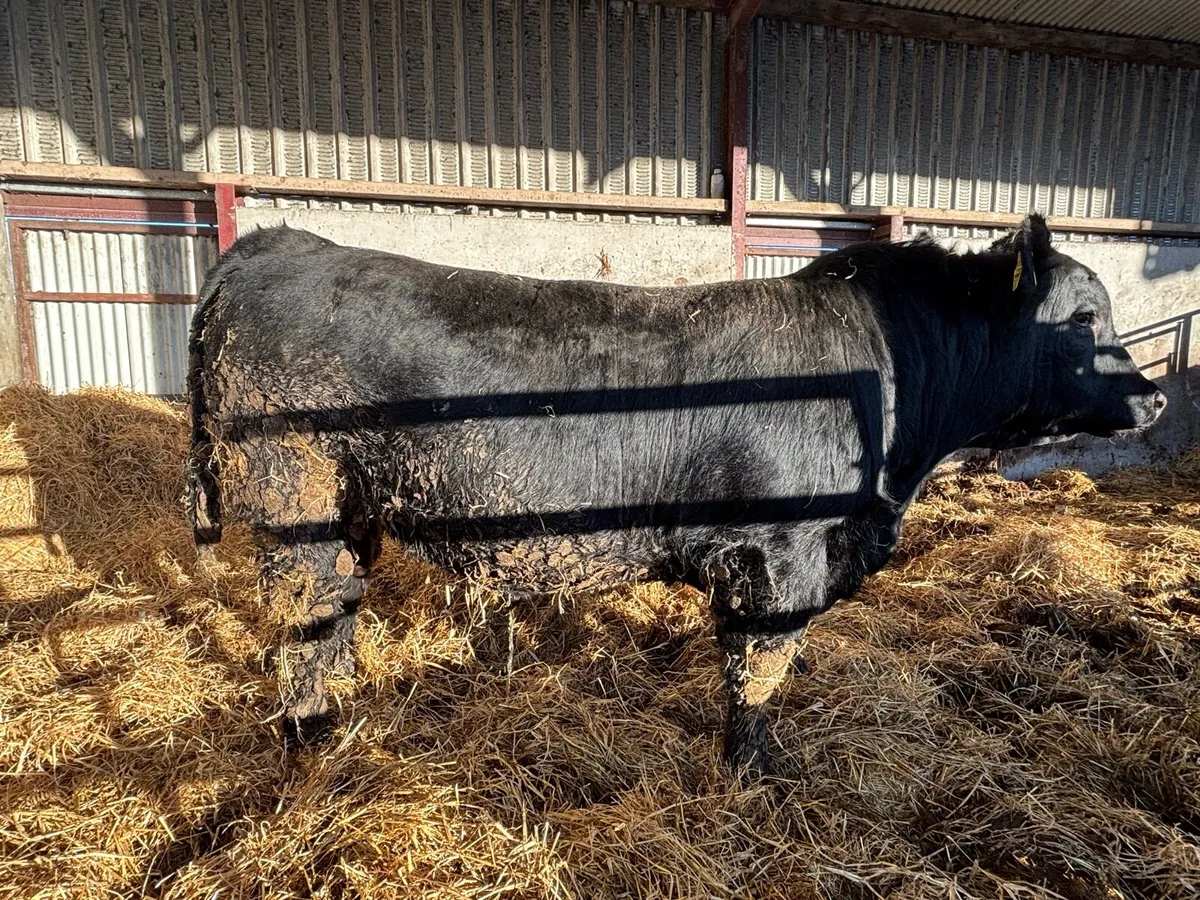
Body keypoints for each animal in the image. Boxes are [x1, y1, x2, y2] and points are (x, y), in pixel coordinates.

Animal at [186, 214, 1164, 775]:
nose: (1156, 398)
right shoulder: (780, 556)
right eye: (1083, 319)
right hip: (296, 502)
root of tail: (279, 243)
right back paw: (314, 737)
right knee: (306, 624)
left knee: (337, 615)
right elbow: (757, 671)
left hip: (347, 509)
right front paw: (754, 773)